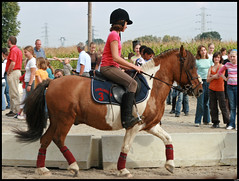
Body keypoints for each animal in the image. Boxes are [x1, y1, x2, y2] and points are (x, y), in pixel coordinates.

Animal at [13, 45, 202, 177]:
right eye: (191, 66)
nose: (200, 90)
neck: (152, 86)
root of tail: (52, 82)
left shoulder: (150, 125)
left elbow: (168, 138)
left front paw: (170, 164)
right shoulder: (134, 126)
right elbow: (126, 146)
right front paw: (122, 170)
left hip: (56, 119)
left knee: (45, 139)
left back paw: (42, 169)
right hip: (65, 119)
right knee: (58, 139)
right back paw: (73, 166)